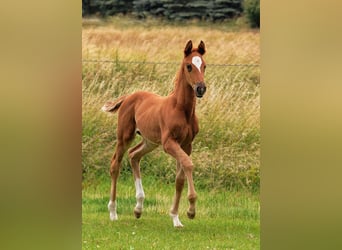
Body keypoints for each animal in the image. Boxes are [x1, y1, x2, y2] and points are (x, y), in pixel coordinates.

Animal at [101, 40, 207, 228]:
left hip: (149, 141)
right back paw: (113, 212)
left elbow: (179, 179)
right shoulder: (169, 143)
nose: (201, 88)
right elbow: (188, 164)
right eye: (189, 66)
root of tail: (128, 96)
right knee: (115, 165)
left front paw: (176, 218)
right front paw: (191, 210)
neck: (181, 109)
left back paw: (138, 208)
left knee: (134, 155)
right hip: (125, 136)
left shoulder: (186, 145)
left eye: (204, 66)